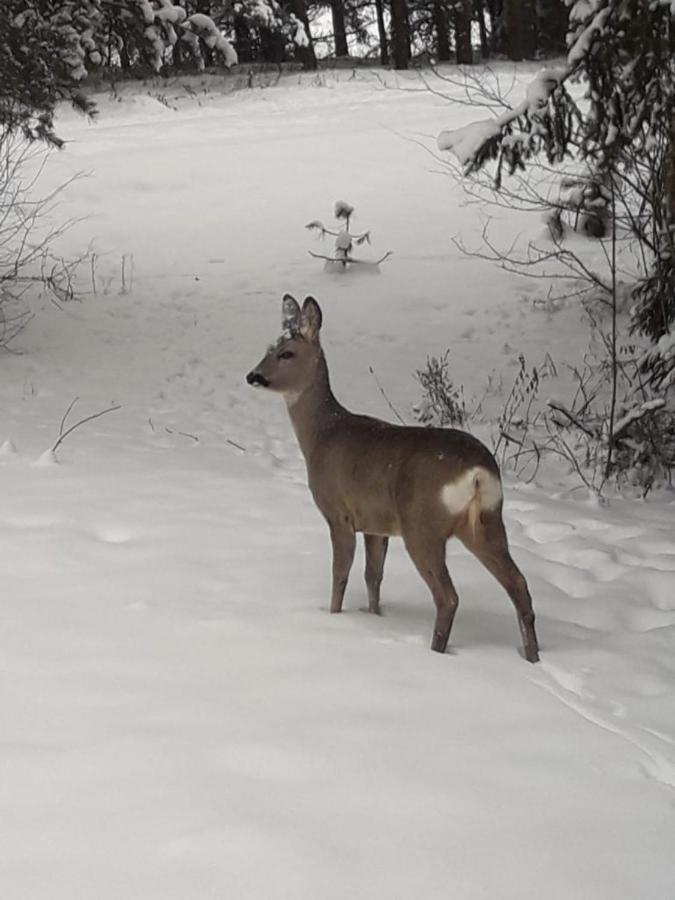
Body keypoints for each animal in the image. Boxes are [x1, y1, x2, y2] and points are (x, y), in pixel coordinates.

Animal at [246, 296, 540, 660]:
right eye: (268, 347)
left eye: (286, 353)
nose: (253, 376)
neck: (321, 434)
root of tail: (477, 474)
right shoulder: (376, 524)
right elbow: (374, 576)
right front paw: (375, 617)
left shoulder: (339, 514)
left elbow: (340, 575)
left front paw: (334, 617)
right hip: (487, 521)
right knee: (519, 585)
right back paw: (532, 657)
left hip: (423, 526)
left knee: (448, 596)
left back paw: (436, 652)